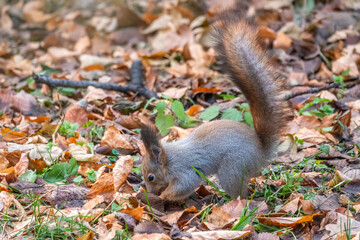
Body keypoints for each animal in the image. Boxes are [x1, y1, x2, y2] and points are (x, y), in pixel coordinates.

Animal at [139, 15, 292, 202]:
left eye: (151, 177)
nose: (150, 191)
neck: (169, 159)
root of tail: (262, 153)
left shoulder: (185, 172)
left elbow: (184, 186)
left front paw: (162, 196)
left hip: (232, 168)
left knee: (239, 194)